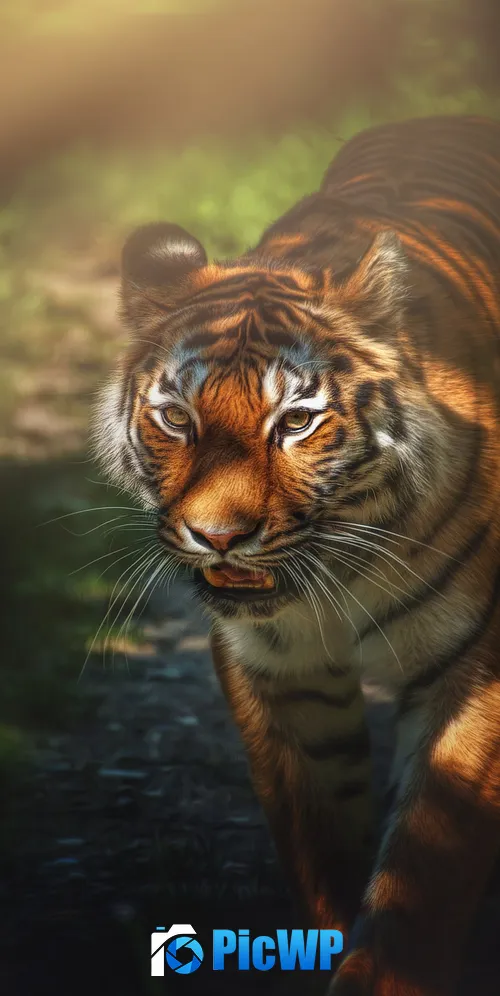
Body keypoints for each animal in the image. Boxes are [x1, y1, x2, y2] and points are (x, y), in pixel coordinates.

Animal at [94, 115, 500, 994]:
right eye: (176, 418)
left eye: (296, 423)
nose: (218, 536)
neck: (344, 572)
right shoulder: (277, 669)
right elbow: (320, 835)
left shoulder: (477, 663)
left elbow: (424, 874)